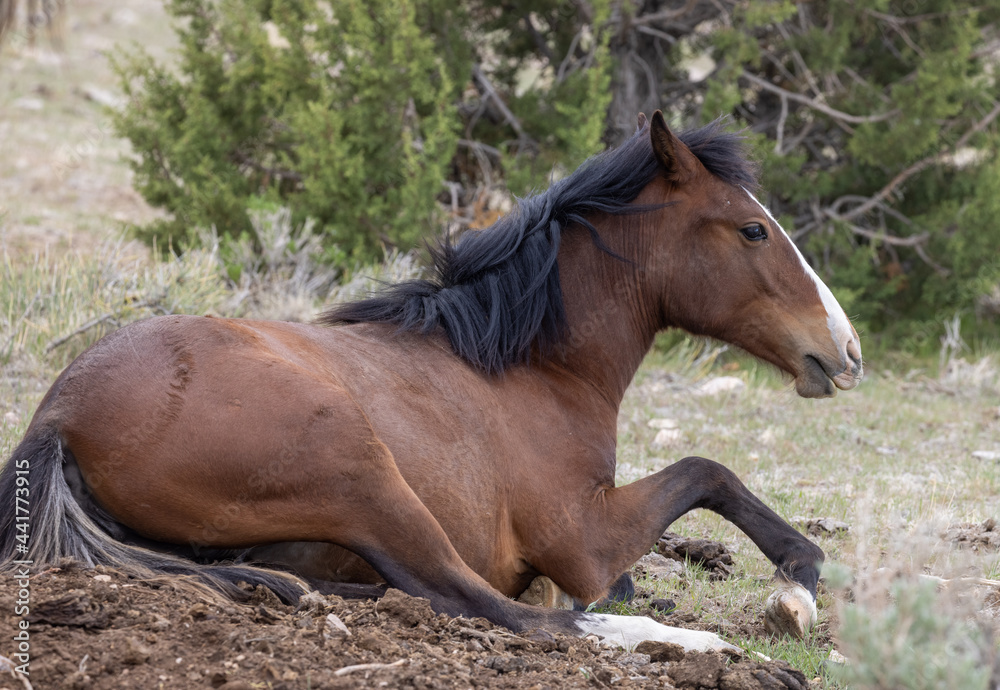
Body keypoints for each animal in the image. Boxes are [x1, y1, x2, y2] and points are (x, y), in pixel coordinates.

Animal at [0, 111, 862, 651]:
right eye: (752, 230)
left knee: (380, 592)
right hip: (361, 472)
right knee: (481, 606)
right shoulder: (582, 541)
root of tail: (59, 418)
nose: (845, 351)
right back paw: (699, 644)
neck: (525, 368)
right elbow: (708, 474)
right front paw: (794, 590)